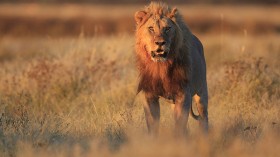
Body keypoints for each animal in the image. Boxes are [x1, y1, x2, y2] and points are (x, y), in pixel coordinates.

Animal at [135, 1, 209, 135]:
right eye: (151, 28)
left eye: (167, 28)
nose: (160, 43)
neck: (160, 66)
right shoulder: (149, 94)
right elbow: (152, 123)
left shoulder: (183, 94)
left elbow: (180, 124)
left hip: (201, 92)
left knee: (204, 118)